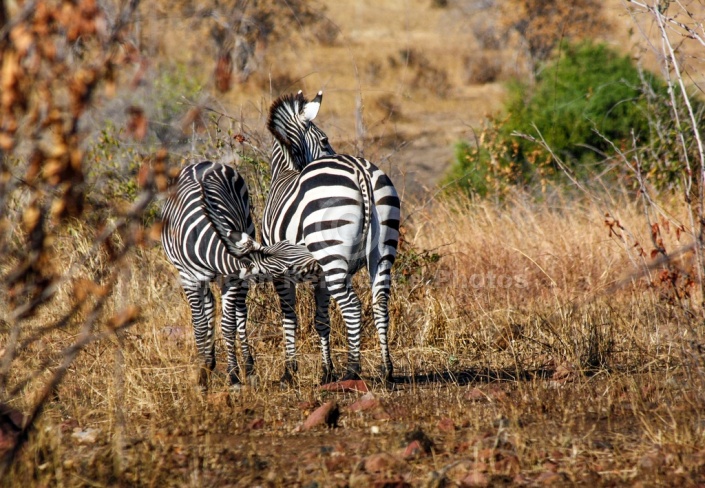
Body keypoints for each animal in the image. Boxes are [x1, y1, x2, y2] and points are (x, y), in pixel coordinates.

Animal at [160, 161, 320, 388]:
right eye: (287, 268)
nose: (320, 262)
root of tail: (205, 162)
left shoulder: (232, 277)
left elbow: (228, 325)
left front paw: (234, 376)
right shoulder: (189, 279)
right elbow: (199, 325)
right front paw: (202, 376)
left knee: (239, 314)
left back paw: (248, 368)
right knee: (209, 307)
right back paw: (208, 362)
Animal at [262, 90, 398, 386]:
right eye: (325, 140)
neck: (286, 170)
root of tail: (359, 168)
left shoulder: (279, 269)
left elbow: (289, 317)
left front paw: (289, 371)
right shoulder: (319, 274)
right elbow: (321, 320)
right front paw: (326, 371)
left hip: (333, 252)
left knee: (352, 307)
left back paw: (352, 370)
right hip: (382, 247)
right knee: (380, 302)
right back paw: (386, 369)